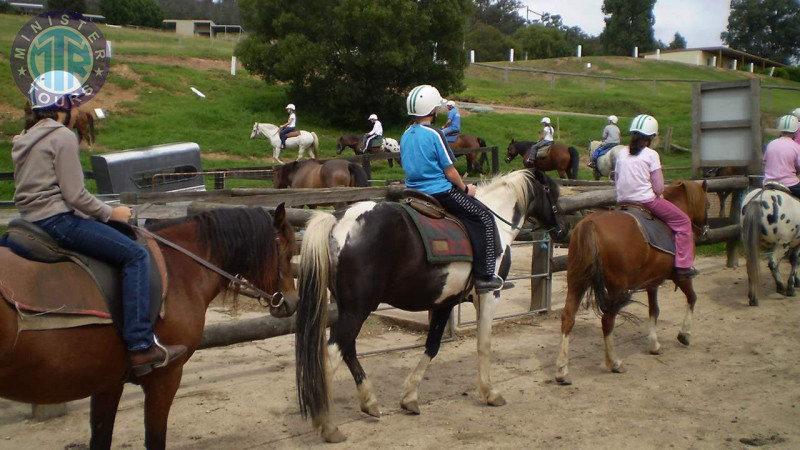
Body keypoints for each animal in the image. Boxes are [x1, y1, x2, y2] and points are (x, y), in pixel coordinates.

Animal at [0, 206, 298, 448]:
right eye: (285, 252)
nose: (292, 302)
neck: (179, 269)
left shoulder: (109, 382)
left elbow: (102, 437)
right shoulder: (165, 377)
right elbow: (154, 439)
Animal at [294, 169, 568, 442]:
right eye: (552, 192)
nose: (562, 230)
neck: (496, 223)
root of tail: (338, 220)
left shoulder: (445, 301)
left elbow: (432, 346)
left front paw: (410, 398)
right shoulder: (490, 295)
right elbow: (484, 344)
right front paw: (490, 393)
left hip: (350, 308)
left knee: (347, 349)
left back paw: (369, 402)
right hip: (357, 309)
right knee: (333, 353)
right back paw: (329, 425)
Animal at [556, 179, 708, 384]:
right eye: (707, 204)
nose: (705, 230)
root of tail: (590, 223)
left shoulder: (653, 280)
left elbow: (654, 310)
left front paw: (654, 345)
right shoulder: (679, 276)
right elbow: (692, 297)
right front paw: (684, 334)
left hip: (577, 281)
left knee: (568, 317)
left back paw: (562, 371)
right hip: (616, 287)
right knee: (607, 320)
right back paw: (615, 363)